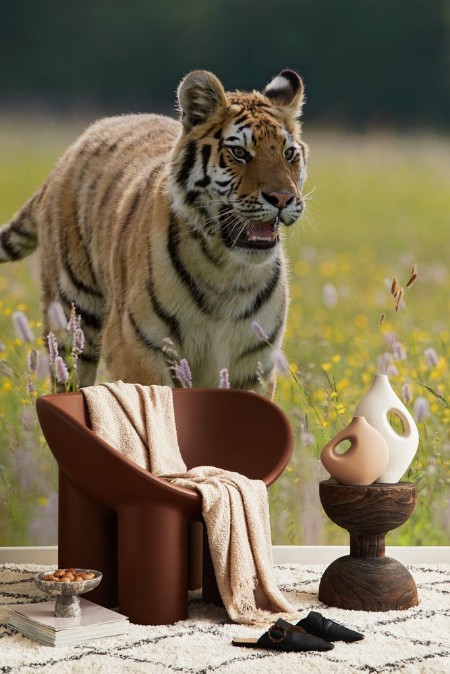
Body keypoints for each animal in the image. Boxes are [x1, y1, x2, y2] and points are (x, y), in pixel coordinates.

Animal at [0, 69, 308, 397]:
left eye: (289, 154)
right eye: (239, 152)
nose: (282, 198)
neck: (227, 272)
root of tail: (67, 154)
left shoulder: (254, 364)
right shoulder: (136, 348)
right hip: (72, 313)